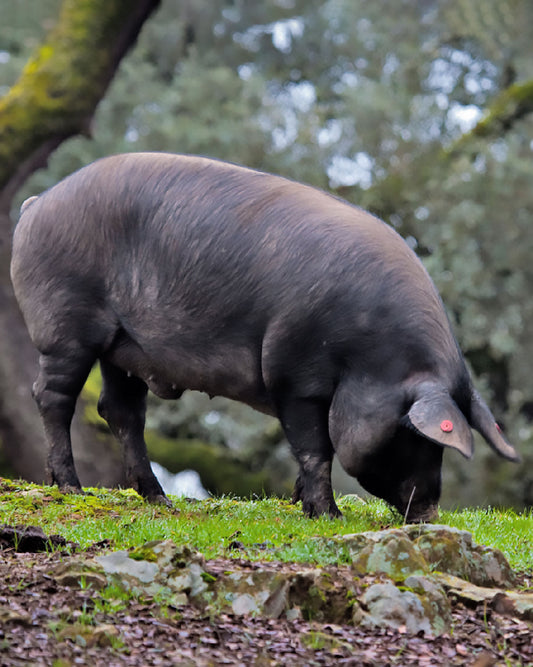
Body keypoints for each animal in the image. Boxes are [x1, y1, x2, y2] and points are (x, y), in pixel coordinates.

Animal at [10, 153, 520, 522]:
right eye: (415, 436)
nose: (430, 513)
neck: (370, 356)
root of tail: (36, 204)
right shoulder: (294, 373)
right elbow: (316, 447)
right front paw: (328, 516)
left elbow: (310, 447)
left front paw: (299, 504)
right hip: (66, 325)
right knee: (51, 395)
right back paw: (71, 486)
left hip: (124, 348)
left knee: (119, 411)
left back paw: (161, 501)